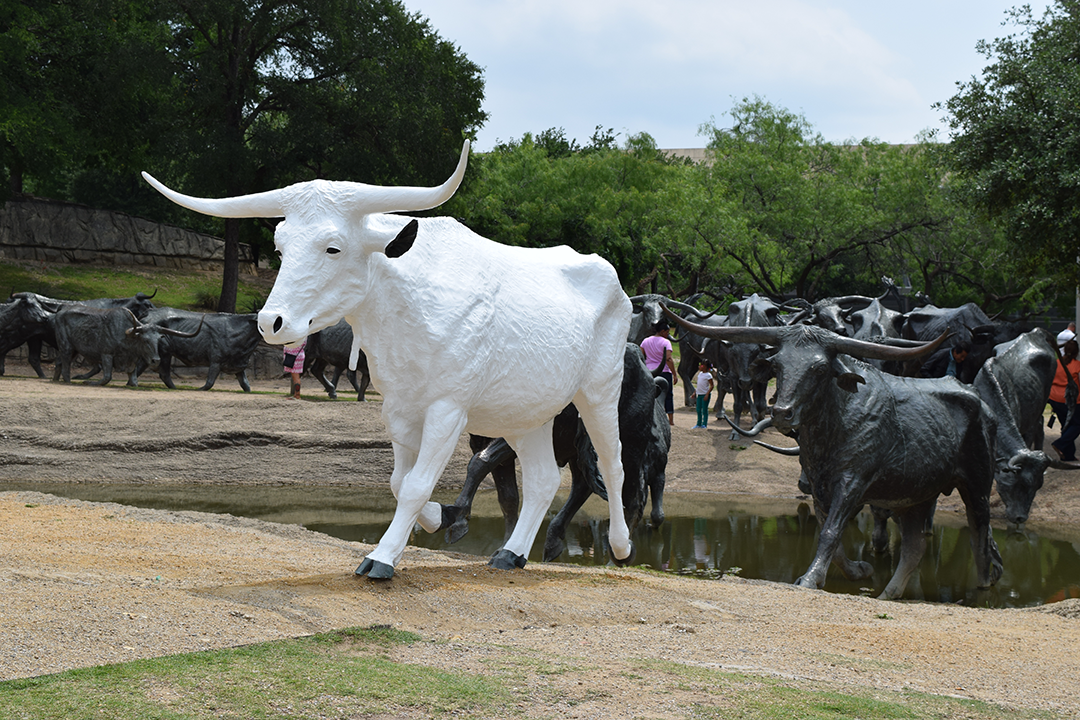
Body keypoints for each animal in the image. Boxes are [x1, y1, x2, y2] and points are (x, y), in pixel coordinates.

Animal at [52, 305, 201, 386]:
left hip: (74, 349)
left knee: (59, 363)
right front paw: (88, 382)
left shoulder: (132, 359)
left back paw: (55, 380)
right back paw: (67, 381)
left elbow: (134, 380)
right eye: (145, 340)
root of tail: (62, 309)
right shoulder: (106, 354)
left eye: (158, 340)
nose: (156, 360)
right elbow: (107, 377)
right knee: (65, 366)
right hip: (66, 347)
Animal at [133, 307, 262, 391]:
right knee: (163, 373)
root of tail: (148, 313)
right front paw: (199, 389)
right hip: (164, 351)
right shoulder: (216, 361)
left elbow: (246, 385)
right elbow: (209, 383)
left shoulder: (238, 364)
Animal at [439, 342, 670, 562]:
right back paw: (553, 540)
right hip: (580, 450)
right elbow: (507, 496)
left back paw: (617, 557)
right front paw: (507, 545)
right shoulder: (483, 441)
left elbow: (480, 462)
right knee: (582, 486)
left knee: (631, 497)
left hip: (629, 448)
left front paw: (457, 520)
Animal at [664, 306, 1003, 601]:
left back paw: (983, 587)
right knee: (914, 547)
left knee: (980, 537)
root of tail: (980, 401)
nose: (782, 413)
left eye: (819, 368)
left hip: (976, 484)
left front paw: (810, 578)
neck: (832, 427)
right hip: (916, 495)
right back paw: (888, 593)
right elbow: (830, 535)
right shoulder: (819, 487)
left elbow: (830, 532)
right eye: (779, 365)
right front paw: (860, 569)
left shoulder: (852, 482)